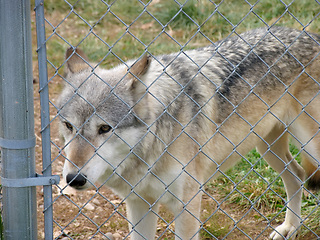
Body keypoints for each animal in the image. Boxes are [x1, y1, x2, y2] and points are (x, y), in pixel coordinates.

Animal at [58, 26, 320, 240]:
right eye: (68, 126)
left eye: (104, 128)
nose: (73, 179)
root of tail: (312, 35)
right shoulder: (139, 203)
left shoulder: (187, 206)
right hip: (266, 147)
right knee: (297, 175)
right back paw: (290, 228)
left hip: (306, 145)